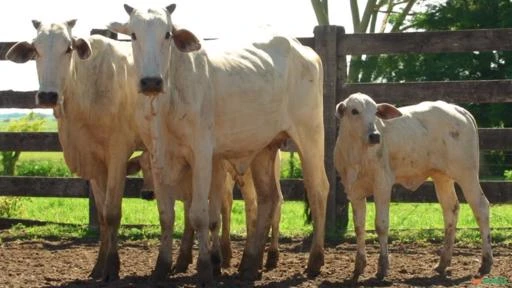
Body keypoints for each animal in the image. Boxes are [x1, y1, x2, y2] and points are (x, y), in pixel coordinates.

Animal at [5, 20, 140, 282]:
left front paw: (112, 269)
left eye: (68, 48)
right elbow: (102, 217)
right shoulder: (94, 163)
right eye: (35, 49)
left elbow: (112, 213)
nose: (48, 95)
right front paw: (100, 267)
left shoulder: (118, 155)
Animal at [110, 3, 330, 284]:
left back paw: (314, 260)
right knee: (268, 198)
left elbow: (199, 215)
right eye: (133, 35)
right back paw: (250, 264)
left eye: (168, 34)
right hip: (265, 148)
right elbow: (167, 216)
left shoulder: (203, 154)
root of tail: (303, 49)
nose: (151, 81)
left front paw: (205, 268)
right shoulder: (158, 156)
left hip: (310, 135)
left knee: (318, 190)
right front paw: (161, 267)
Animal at [334, 93, 494, 282]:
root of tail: (459, 110)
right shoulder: (353, 191)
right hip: (442, 177)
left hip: (466, 173)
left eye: (375, 112)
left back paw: (486, 262)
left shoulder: (382, 184)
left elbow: (381, 225)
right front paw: (358, 267)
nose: (374, 136)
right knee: (451, 209)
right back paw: (443, 263)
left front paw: (382, 268)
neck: (357, 154)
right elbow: (359, 227)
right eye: (354, 111)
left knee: (481, 207)